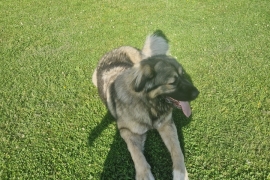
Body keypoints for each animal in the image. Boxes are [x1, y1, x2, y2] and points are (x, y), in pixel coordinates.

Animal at [92, 31, 199, 180]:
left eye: (183, 75)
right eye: (172, 82)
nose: (197, 93)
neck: (148, 104)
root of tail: (113, 50)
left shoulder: (167, 124)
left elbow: (177, 149)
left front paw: (181, 173)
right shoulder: (127, 131)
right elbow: (137, 154)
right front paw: (144, 174)